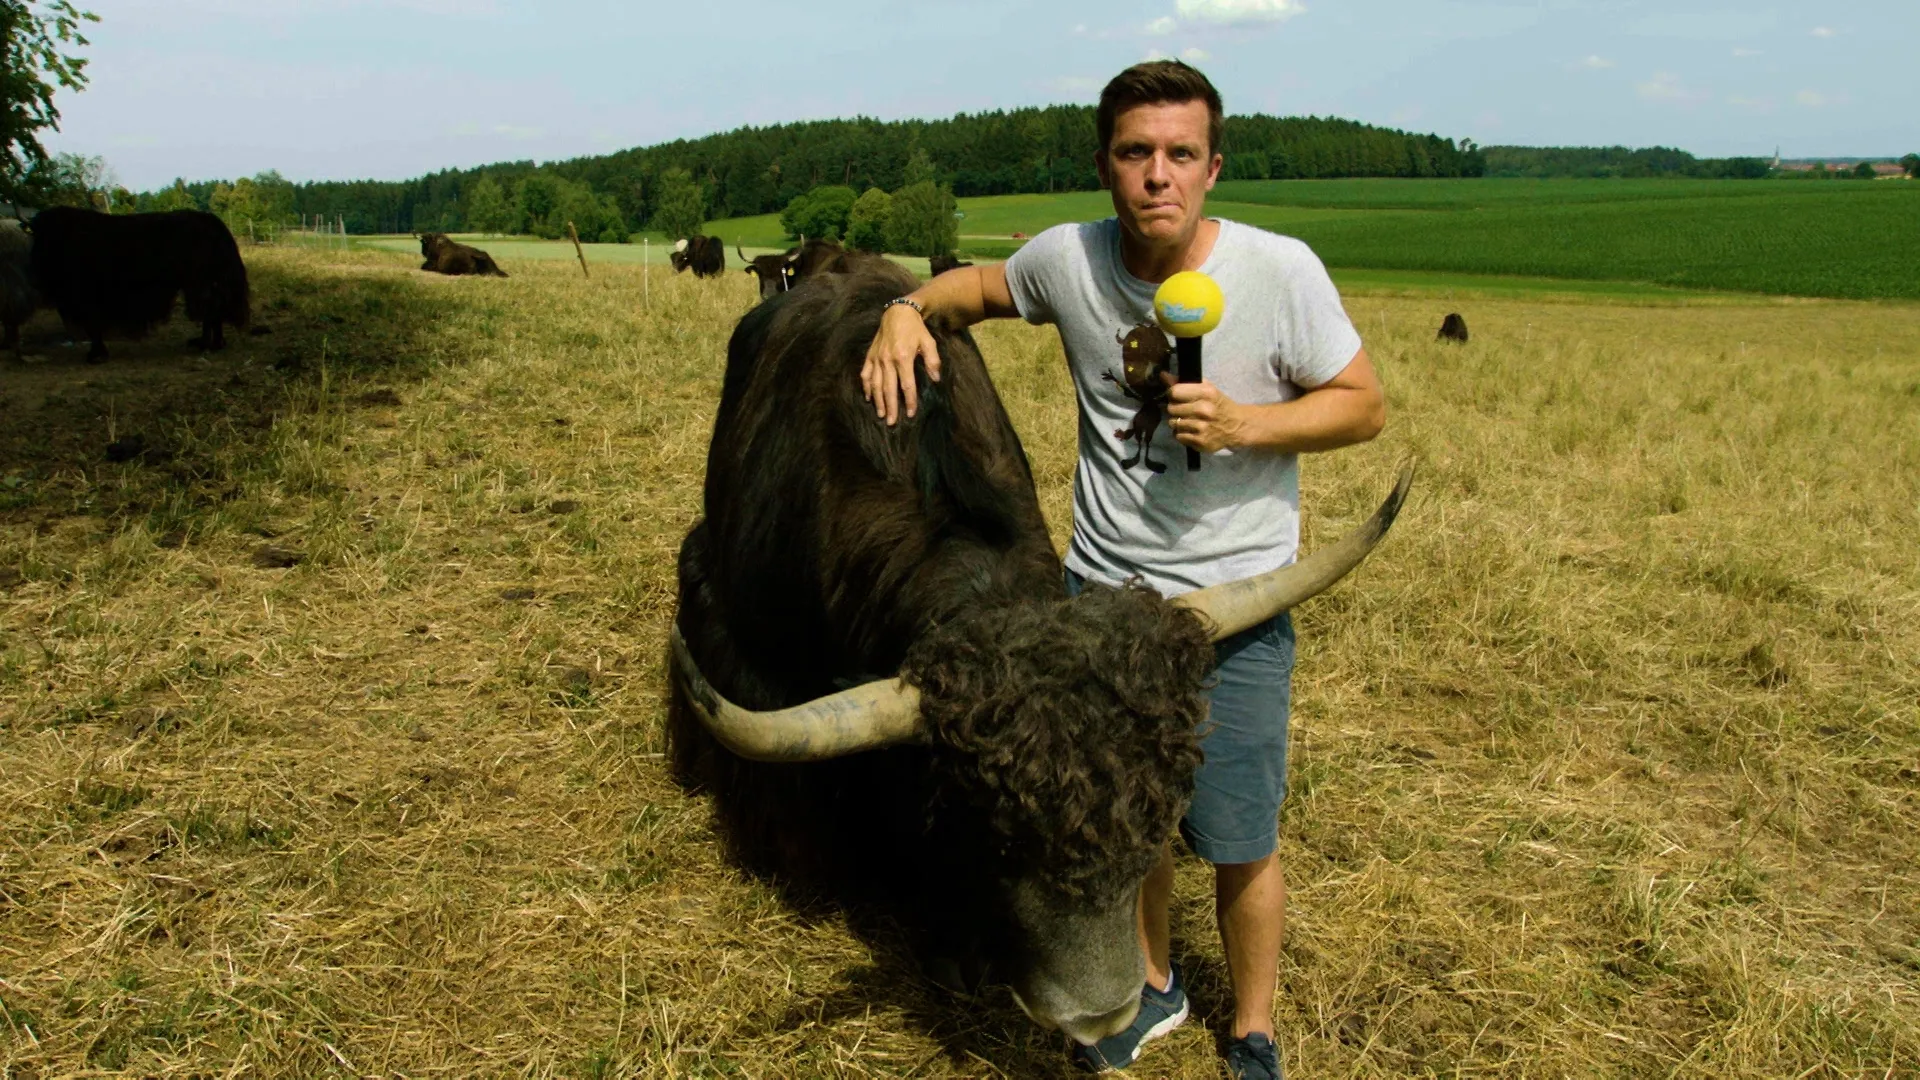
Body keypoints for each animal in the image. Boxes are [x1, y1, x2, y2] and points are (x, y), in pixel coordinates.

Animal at [27, 207, 249, 363]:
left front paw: (96, 355)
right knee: (213, 311)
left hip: (198, 283)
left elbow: (93, 326)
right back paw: (212, 343)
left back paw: (208, 344)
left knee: (210, 310)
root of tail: (213, 223)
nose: (36, 281)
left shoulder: (86, 297)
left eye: (41, 240)